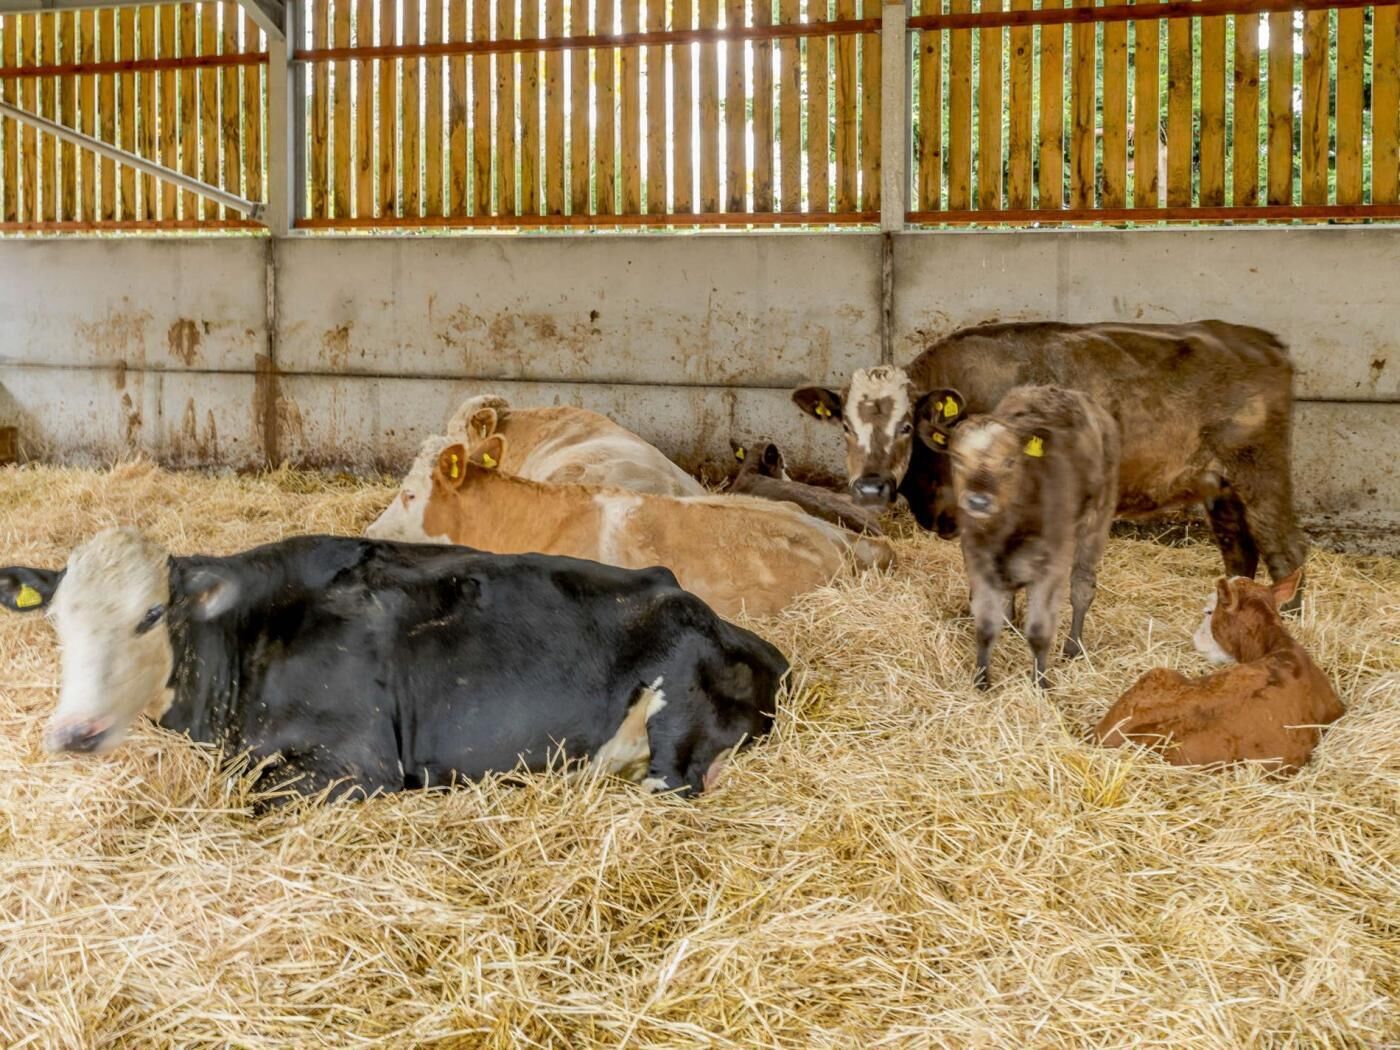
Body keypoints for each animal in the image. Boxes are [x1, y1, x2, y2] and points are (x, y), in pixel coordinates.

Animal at [793, 321, 1307, 597]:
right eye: (844, 426)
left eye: (905, 427)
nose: (870, 486)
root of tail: (1261, 340)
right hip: (1220, 486)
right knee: (1239, 552)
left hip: (1261, 472)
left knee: (1286, 553)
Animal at [925, 385, 1120, 690]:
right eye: (957, 458)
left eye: (1010, 461)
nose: (978, 501)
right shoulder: (976, 559)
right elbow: (985, 627)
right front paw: (982, 681)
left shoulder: (1051, 566)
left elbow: (1039, 632)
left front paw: (1040, 683)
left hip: (1097, 523)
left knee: (1082, 588)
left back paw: (1074, 647)